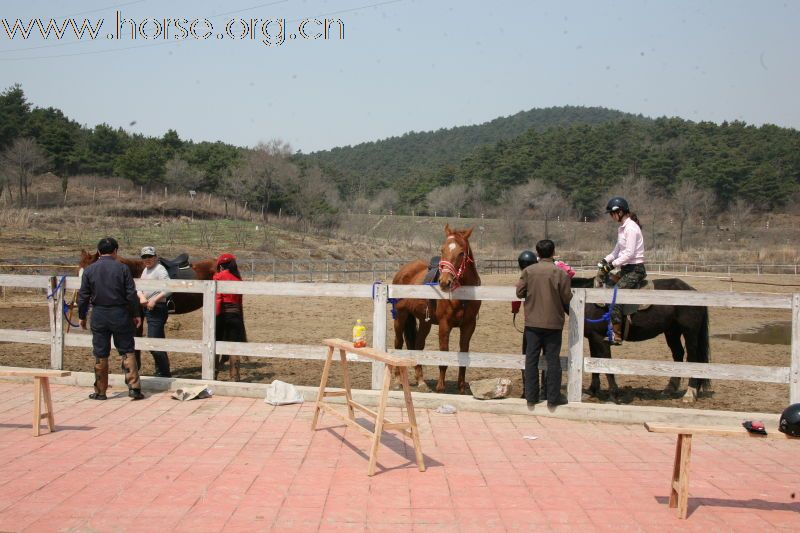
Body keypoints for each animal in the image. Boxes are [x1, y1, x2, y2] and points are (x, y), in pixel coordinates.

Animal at [392, 222, 482, 392]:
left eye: (461, 253)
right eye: (442, 250)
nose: (444, 282)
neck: (463, 296)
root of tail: (402, 272)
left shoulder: (469, 325)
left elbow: (464, 352)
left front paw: (461, 388)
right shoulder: (444, 324)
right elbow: (444, 353)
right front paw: (441, 387)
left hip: (424, 322)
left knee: (418, 345)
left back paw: (421, 382)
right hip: (400, 317)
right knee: (398, 344)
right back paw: (398, 381)